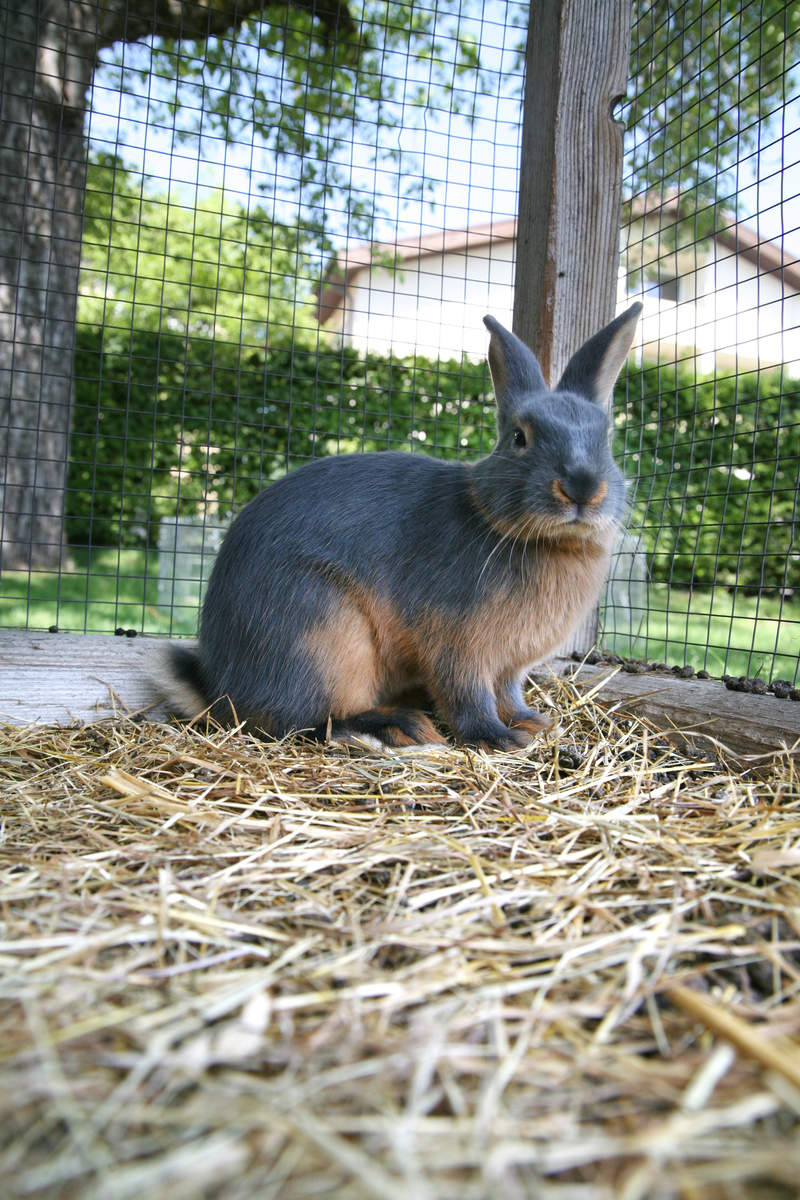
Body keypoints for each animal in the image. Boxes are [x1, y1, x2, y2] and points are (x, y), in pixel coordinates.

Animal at [164, 302, 642, 748]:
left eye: (605, 440)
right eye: (519, 438)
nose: (582, 488)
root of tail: (219, 690)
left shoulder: (509, 665)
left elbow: (508, 695)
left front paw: (533, 722)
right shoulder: (458, 646)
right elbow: (469, 696)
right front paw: (497, 738)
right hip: (319, 633)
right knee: (303, 722)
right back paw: (398, 725)